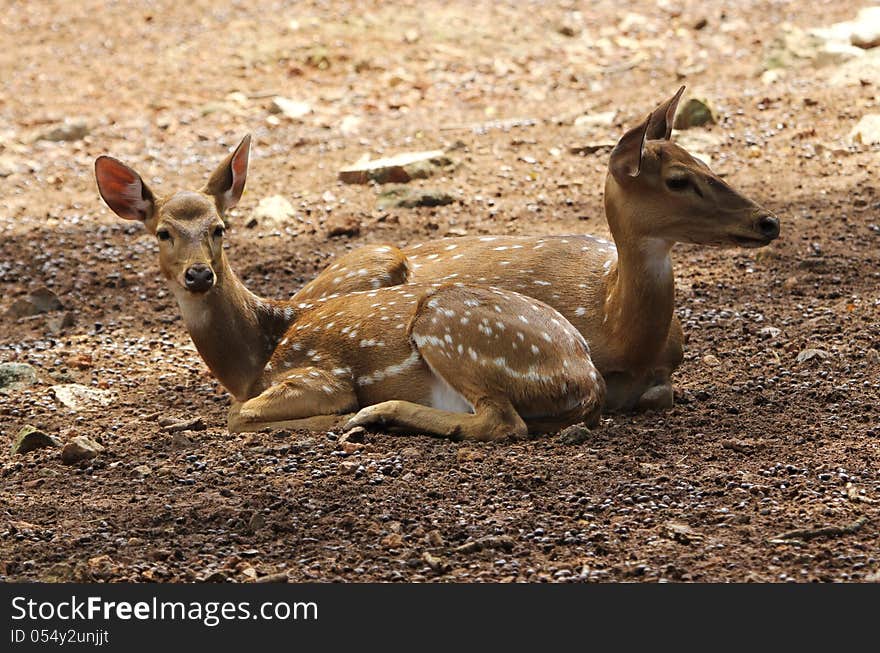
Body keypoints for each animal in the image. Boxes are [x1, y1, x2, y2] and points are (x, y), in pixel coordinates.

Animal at [96, 136, 604, 440]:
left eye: (219, 228)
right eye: (163, 233)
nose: (199, 274)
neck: (253, 358)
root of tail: (586, 376)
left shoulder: (320, 374)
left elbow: (237, 415)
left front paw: (337, 416)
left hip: (449, 326)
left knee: (503, 421)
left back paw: (374, 414)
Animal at [294, 88, 776, 410]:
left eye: (707, 163)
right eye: (678, 179)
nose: (767, 221)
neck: (620, 330)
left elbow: (661, 392)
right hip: (373, 261)